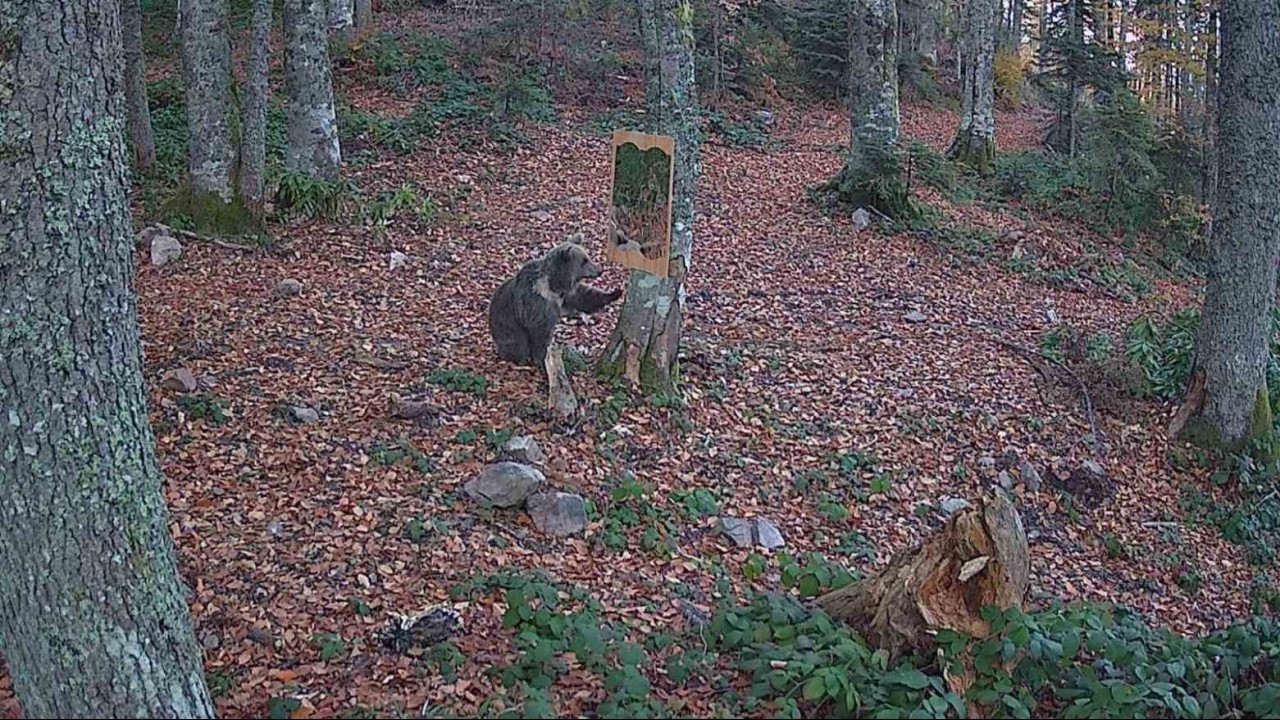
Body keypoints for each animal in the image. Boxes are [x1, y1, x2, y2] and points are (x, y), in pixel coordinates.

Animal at [483, 237, 619, 368]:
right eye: (584, 261)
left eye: (587, 257)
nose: (600, 270)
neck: (554, 284)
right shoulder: (538, 302)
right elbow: (540, 331)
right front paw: (543, 359)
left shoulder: (565, 295)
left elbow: (584, 297)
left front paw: (615, 293)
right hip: (508, 323)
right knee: (517, 343)